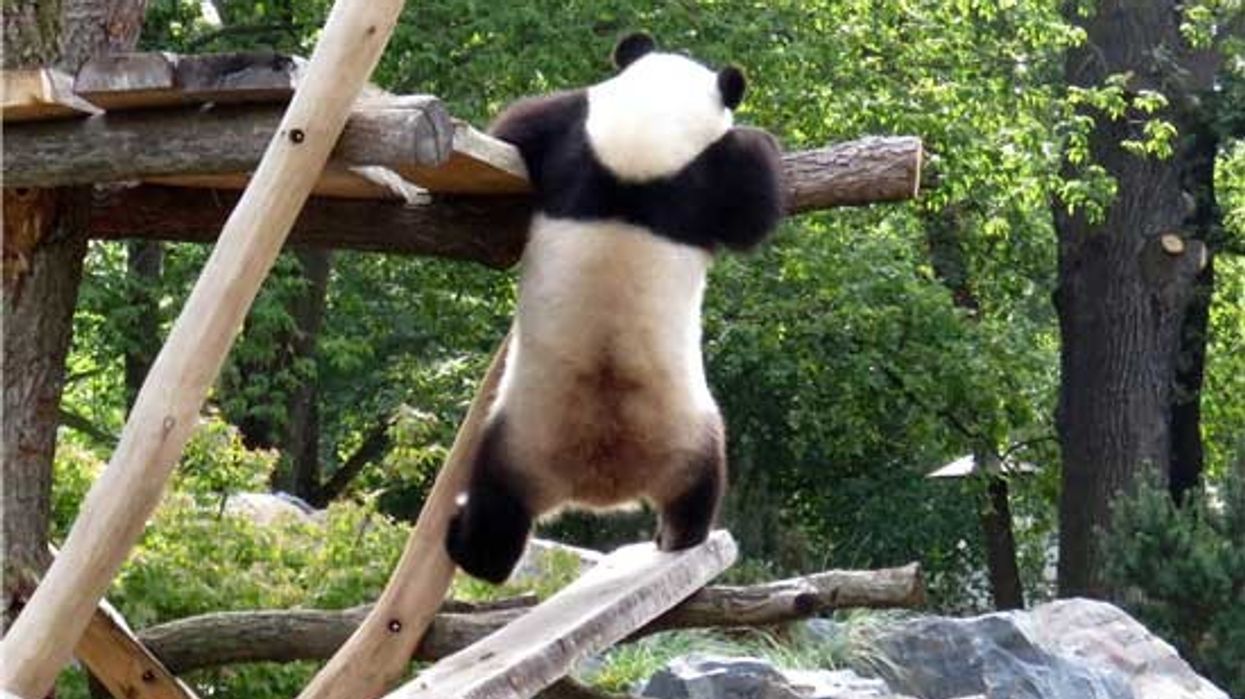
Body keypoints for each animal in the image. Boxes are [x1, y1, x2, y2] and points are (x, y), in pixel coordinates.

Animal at [446, 32, 785, 583]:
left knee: (501, 514)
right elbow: (756, 202)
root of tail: (601, 480)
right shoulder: (581, 127)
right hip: (591, 435)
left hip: (608, 438)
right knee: (701, 490)